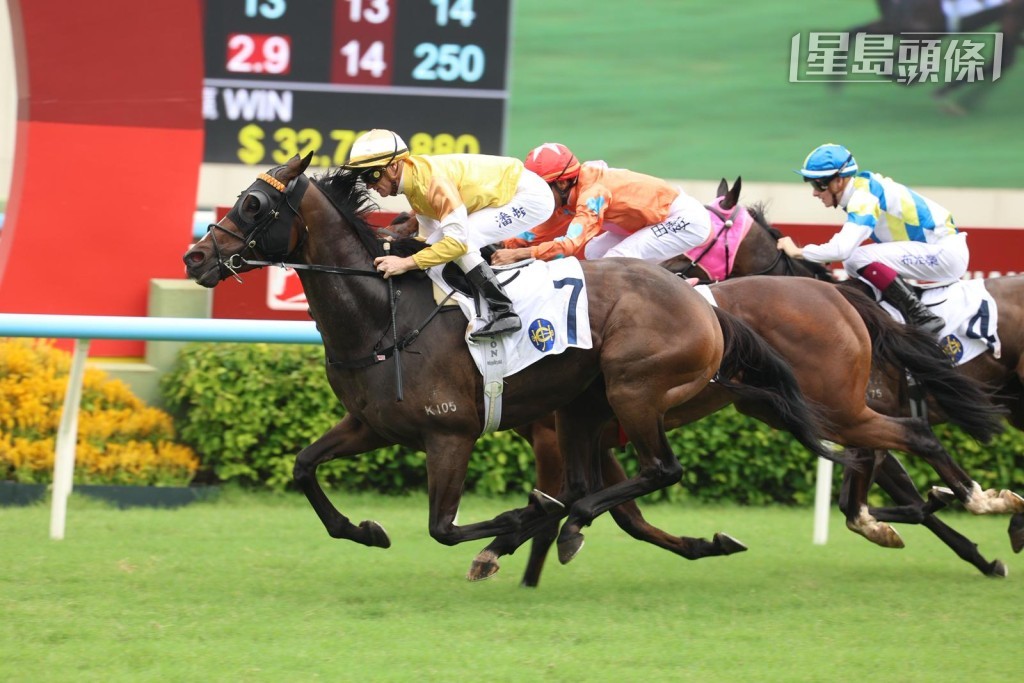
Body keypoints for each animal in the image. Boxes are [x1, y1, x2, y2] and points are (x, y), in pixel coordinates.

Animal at [181, 153, 836, 564]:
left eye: (254, 205)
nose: (194, 257)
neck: (383, 317)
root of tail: (699, 300)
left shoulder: (451, 433)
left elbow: (444, 528)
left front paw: (518, 524)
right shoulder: (371, 424)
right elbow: (303, 467)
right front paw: (363, 529)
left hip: (634, 390)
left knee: (659, 471)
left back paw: (563, 526)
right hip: (583, 408)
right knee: (604, 487)